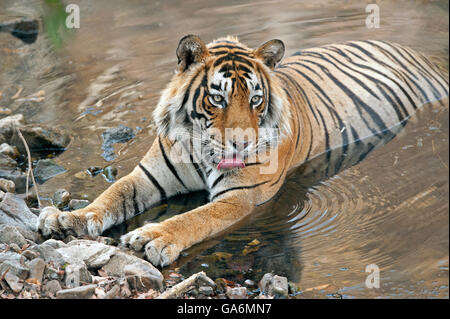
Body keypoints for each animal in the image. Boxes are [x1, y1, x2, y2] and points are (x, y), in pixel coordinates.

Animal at [37, 34, 448, 268]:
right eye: (217, 98)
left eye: (255, 99)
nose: (242, 142)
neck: (201, 148)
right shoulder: (147, 175)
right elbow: (112, 194)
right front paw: (68, 218)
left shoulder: (241, 197)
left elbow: (196, 217)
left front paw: (154, 237)